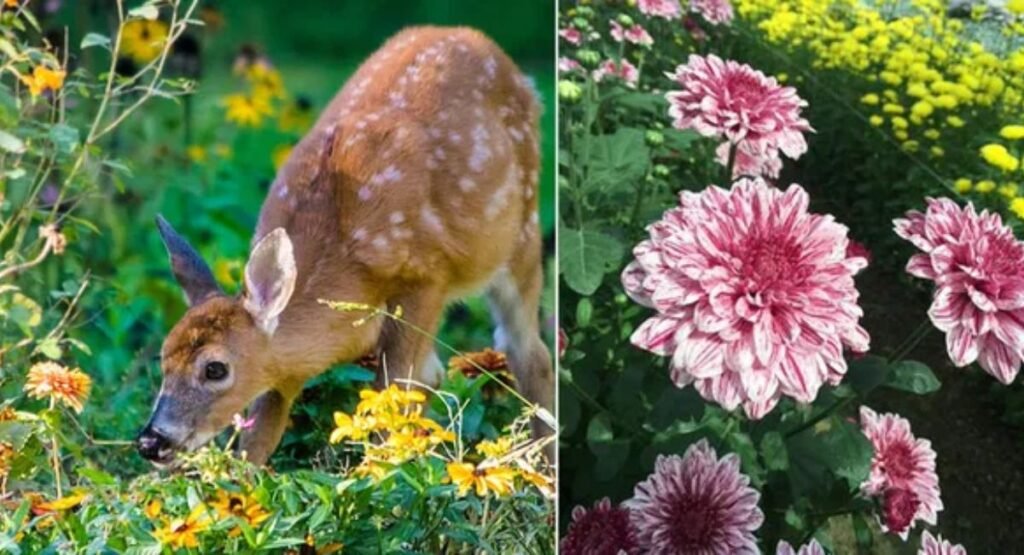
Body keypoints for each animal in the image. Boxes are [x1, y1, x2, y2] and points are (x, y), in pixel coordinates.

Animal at [136, 26, 553, 466]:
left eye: (215, 368)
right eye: (163, 357)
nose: (151, 441)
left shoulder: (426, 276)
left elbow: (392, 389)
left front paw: (382, 472)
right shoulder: (285, 366)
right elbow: (262, 431)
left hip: (522, 234)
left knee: (528, 352)